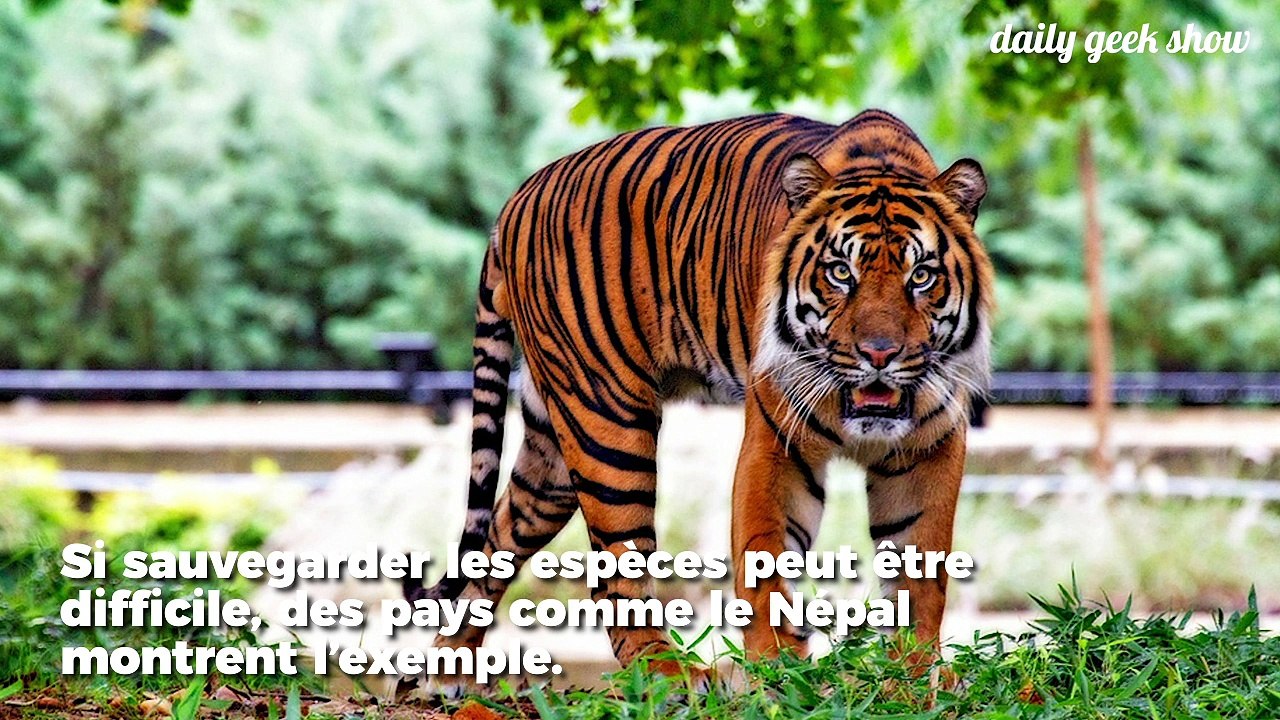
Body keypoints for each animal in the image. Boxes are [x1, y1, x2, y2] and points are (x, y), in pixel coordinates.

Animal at [403, 108, 993, 690]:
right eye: (840, 273)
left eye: (922, 275)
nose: (879, 354)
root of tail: (518, 196)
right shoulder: (776, 444)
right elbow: (765, 562)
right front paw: (778, 675)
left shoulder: (929, 448)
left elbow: (922, 574)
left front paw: (913, 676)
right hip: (606, 424)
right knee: (615, 572)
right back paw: (667, 673)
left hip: (551, 453)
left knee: (500, 536)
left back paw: (446, 670)